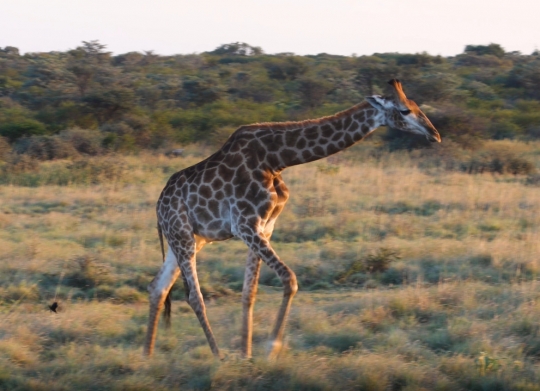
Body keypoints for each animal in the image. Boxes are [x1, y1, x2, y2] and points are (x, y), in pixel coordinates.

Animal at [143, 78, 438, 360]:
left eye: (416, 105)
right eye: (404, 110)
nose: (434, 134)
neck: (276, 159)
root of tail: (158, 207)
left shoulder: (265, 226)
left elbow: (249, 292)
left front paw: (246, 354)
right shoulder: (245, 225)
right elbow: (289, 279)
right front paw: (270, 348)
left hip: (190, 239)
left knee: (158, 287)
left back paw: (147, 356)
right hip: (182, 236)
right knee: (194, 296)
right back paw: (217, 356)